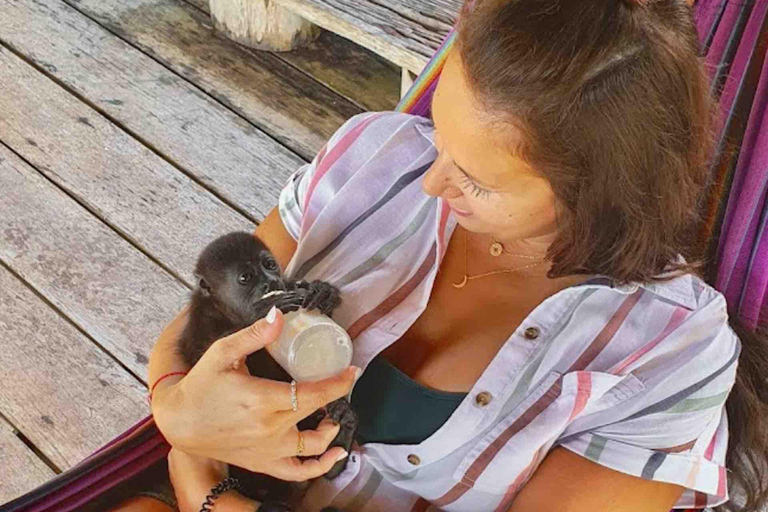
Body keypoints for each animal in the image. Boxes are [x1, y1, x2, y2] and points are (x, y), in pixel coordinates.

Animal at [178, 233, 358, 512]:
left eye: (270, 265)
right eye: (246, 277)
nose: (271, 282)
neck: (227, 311)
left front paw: (323, 293)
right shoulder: (200, 322)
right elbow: (202, 357)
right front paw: (263, 313)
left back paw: (342, 435)